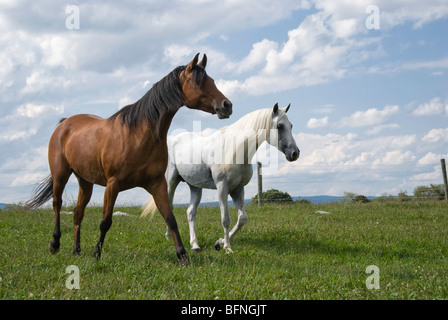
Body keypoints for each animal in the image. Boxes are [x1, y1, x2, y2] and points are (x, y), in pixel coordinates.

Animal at [26, 54, 233, 264]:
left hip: (85, 181)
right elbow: (105, 221)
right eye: (199, 82)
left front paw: (182, 256)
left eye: (212, 80)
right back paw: (54, 244)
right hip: (60, 175)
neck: (139, 135)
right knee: (57, 204)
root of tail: (64, 124)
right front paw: (96, 253)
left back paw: (76, 250)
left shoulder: (157, 183)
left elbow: (170, 218)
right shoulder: (113, 184)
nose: (227, 105)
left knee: (78, 213)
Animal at [142, 104, 300, 252]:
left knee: (191, 212)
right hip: (171, 182)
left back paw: (195, 245)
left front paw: (220, 242)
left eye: (291, 125)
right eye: (279, 126)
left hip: (195, 187)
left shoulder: (238, 189)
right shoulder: (222, 188)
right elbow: (225, 219)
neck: (234, 150)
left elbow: (242, 218)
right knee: (169, 206)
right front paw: (228, 248)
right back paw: (169, 236)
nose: (295, 153)